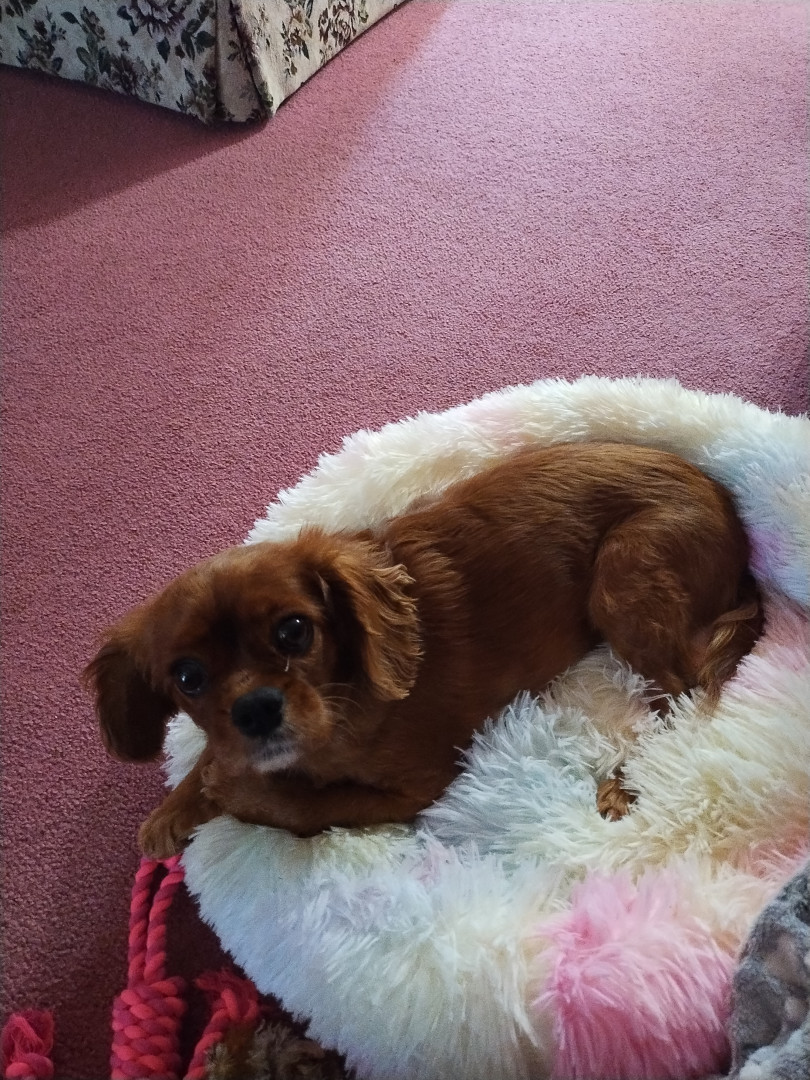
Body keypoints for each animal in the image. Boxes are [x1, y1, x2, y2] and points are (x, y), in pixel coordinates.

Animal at [84, 442, 762, 859]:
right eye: (188, 678)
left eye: (294, 631)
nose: (256, 709)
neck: (342, 698)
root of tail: (731, 516)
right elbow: (220, 755)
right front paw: (175, 808)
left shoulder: (416, 786)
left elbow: (309, 808)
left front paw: (233, 794)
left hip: (622, 577)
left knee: (683, 691)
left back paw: (625, 778)